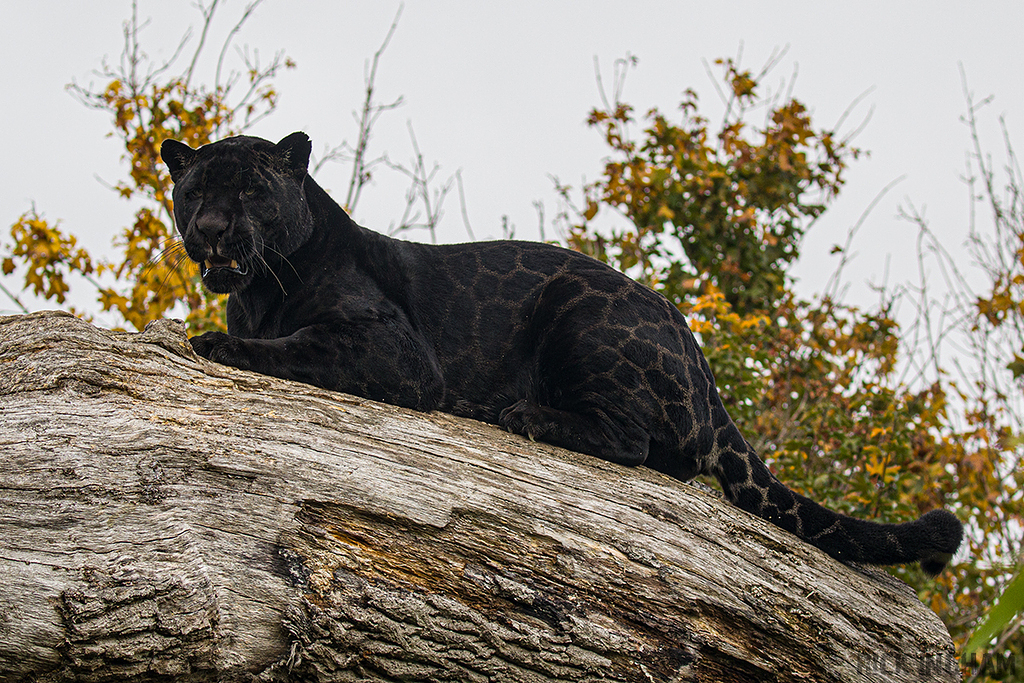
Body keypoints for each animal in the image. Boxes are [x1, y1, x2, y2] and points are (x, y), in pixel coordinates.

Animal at [161, 132, 963, 575]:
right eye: (194, 190)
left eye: (250, 190)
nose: (211, 229)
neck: (260, 288)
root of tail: (701, 359)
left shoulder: (393, 349)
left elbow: (298, 343)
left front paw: (218, 343)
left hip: (583, 316)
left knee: (636, 442)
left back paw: (524, 415)